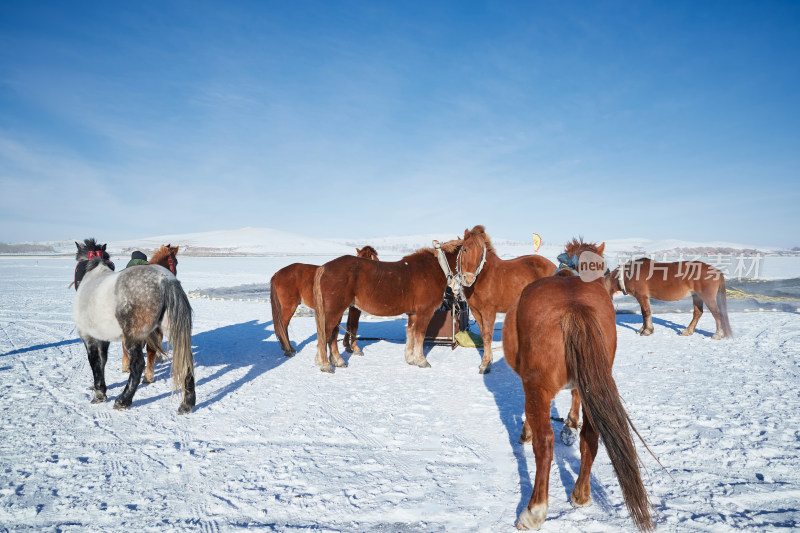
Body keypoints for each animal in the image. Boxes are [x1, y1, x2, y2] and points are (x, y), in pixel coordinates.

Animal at [72, 239, 196, 414]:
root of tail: (164, 279)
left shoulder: (88, 337)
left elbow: (95, 362)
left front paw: (99, 394)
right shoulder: (103, 338)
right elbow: (102, 361)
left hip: (133, 337)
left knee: (138, 365)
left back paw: (123, 400)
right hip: (172, 330)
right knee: (186, 359)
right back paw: (187, 403)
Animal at [312, 239, 462, 372]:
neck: (435, 268)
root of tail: (324, 267)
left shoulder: (413, 313)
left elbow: (411, 333)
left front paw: (411, 359)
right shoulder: (425, 312)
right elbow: (420, 335)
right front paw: (422, 361)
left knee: (332, 334)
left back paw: (337, 361)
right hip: (334, 311)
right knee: (326, 334)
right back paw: (325, 364)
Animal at [456, 224, 556, 374]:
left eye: (481, 254)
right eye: (465, 249)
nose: (468, 279)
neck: (483, 276)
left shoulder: (489, 312)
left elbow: (488, 335)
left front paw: (485, 364)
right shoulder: (476, 312)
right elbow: (484, 335)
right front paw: (488, 360)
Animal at [506, 239, 656, 528]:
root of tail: (574, 307)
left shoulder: (528, 382)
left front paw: (527, 432)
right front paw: (570, 425)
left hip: (538, 387)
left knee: (545, 443)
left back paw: (534, 510)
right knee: (591, 436)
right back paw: (581, 494)